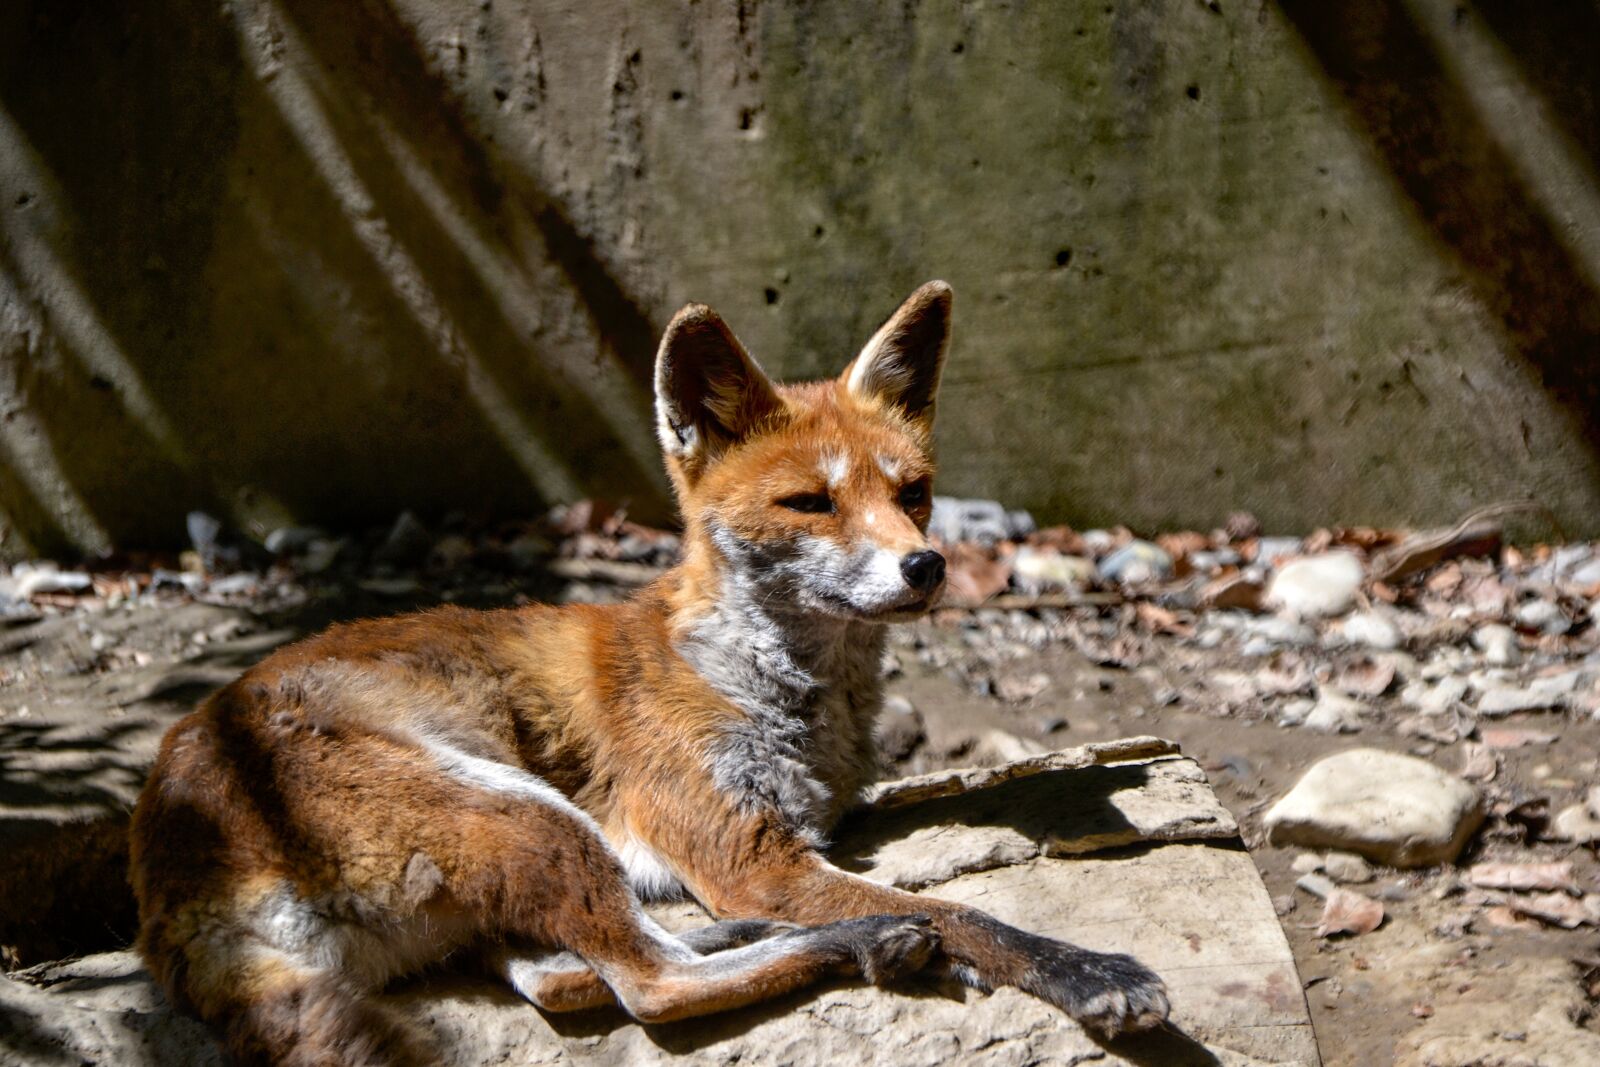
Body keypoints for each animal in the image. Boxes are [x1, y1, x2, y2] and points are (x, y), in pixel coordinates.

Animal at [129, 281, 1170, 1066]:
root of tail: (163, 881)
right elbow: (964, 911)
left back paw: (785, 938)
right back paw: (852, 942)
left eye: (912, 494)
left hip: (511, 871)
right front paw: (1085, 970)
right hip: (524, 812)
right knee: (650, 985)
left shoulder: (792, 837)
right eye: (810, 502)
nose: (926, 566)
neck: (773, 693)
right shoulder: (744, 852)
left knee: (573, 974)